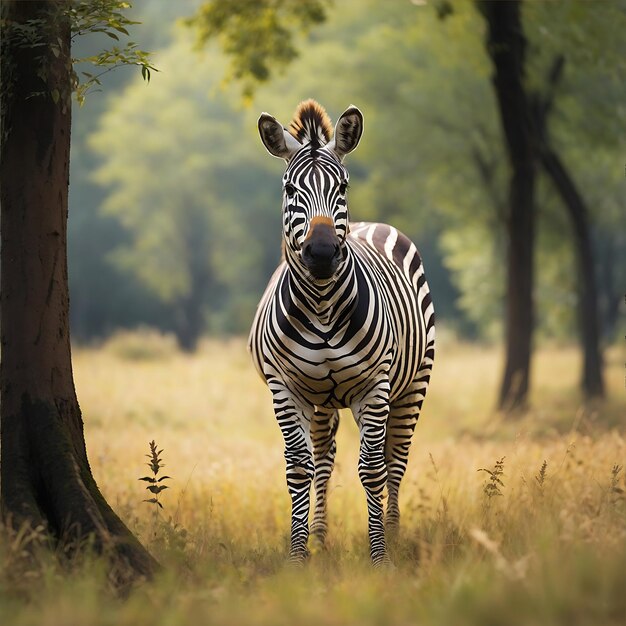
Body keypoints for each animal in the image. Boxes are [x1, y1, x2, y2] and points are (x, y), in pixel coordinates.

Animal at [246, 100, 432, 564]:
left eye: (343, 187)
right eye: (290, 190)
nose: (322, 252)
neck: (322, 305)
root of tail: (369, 224)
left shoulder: (374, 385)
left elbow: (372, 468)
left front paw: (380, 554)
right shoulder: (284, 386)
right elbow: (300, 466)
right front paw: (298, 555)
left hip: (413, 384)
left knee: (395, 458)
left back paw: (395, 533)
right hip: (321, 398)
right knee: (323, 457)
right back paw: (319, 535)